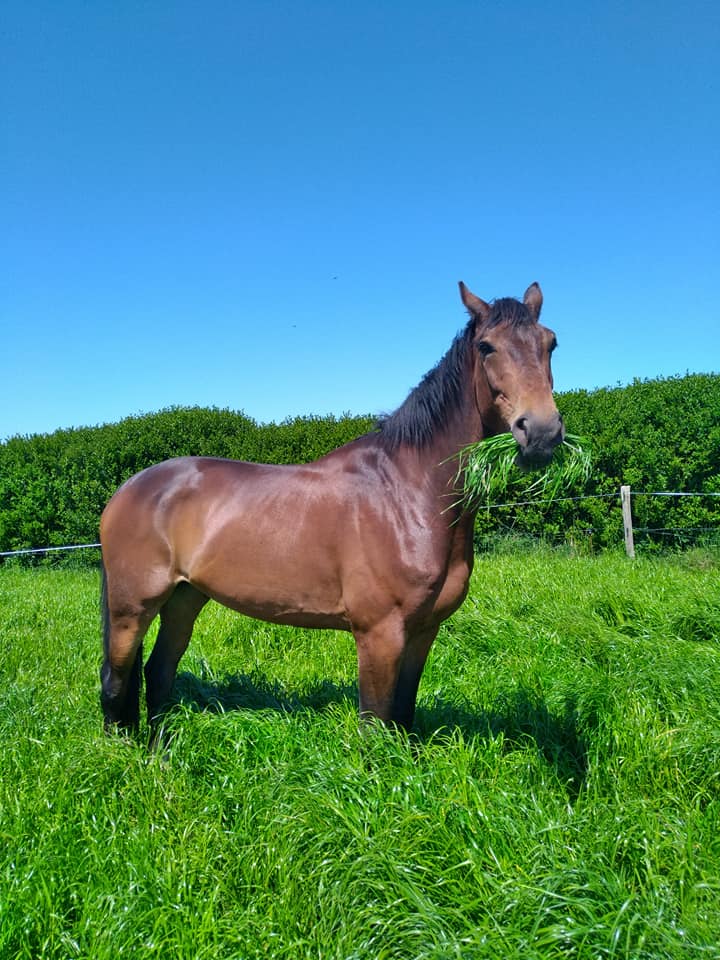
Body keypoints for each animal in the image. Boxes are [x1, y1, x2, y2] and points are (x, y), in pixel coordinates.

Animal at [100, 278, 564, 736]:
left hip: (185, 598)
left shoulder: (423, 630)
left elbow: (404, 716)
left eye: (550, 342)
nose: (541, 432)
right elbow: (375, 724)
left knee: (158, 673)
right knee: (115, 680)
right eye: (486, 346)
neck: (408, 494)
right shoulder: (379, 634)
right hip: (132, 608)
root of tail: (129, 489)